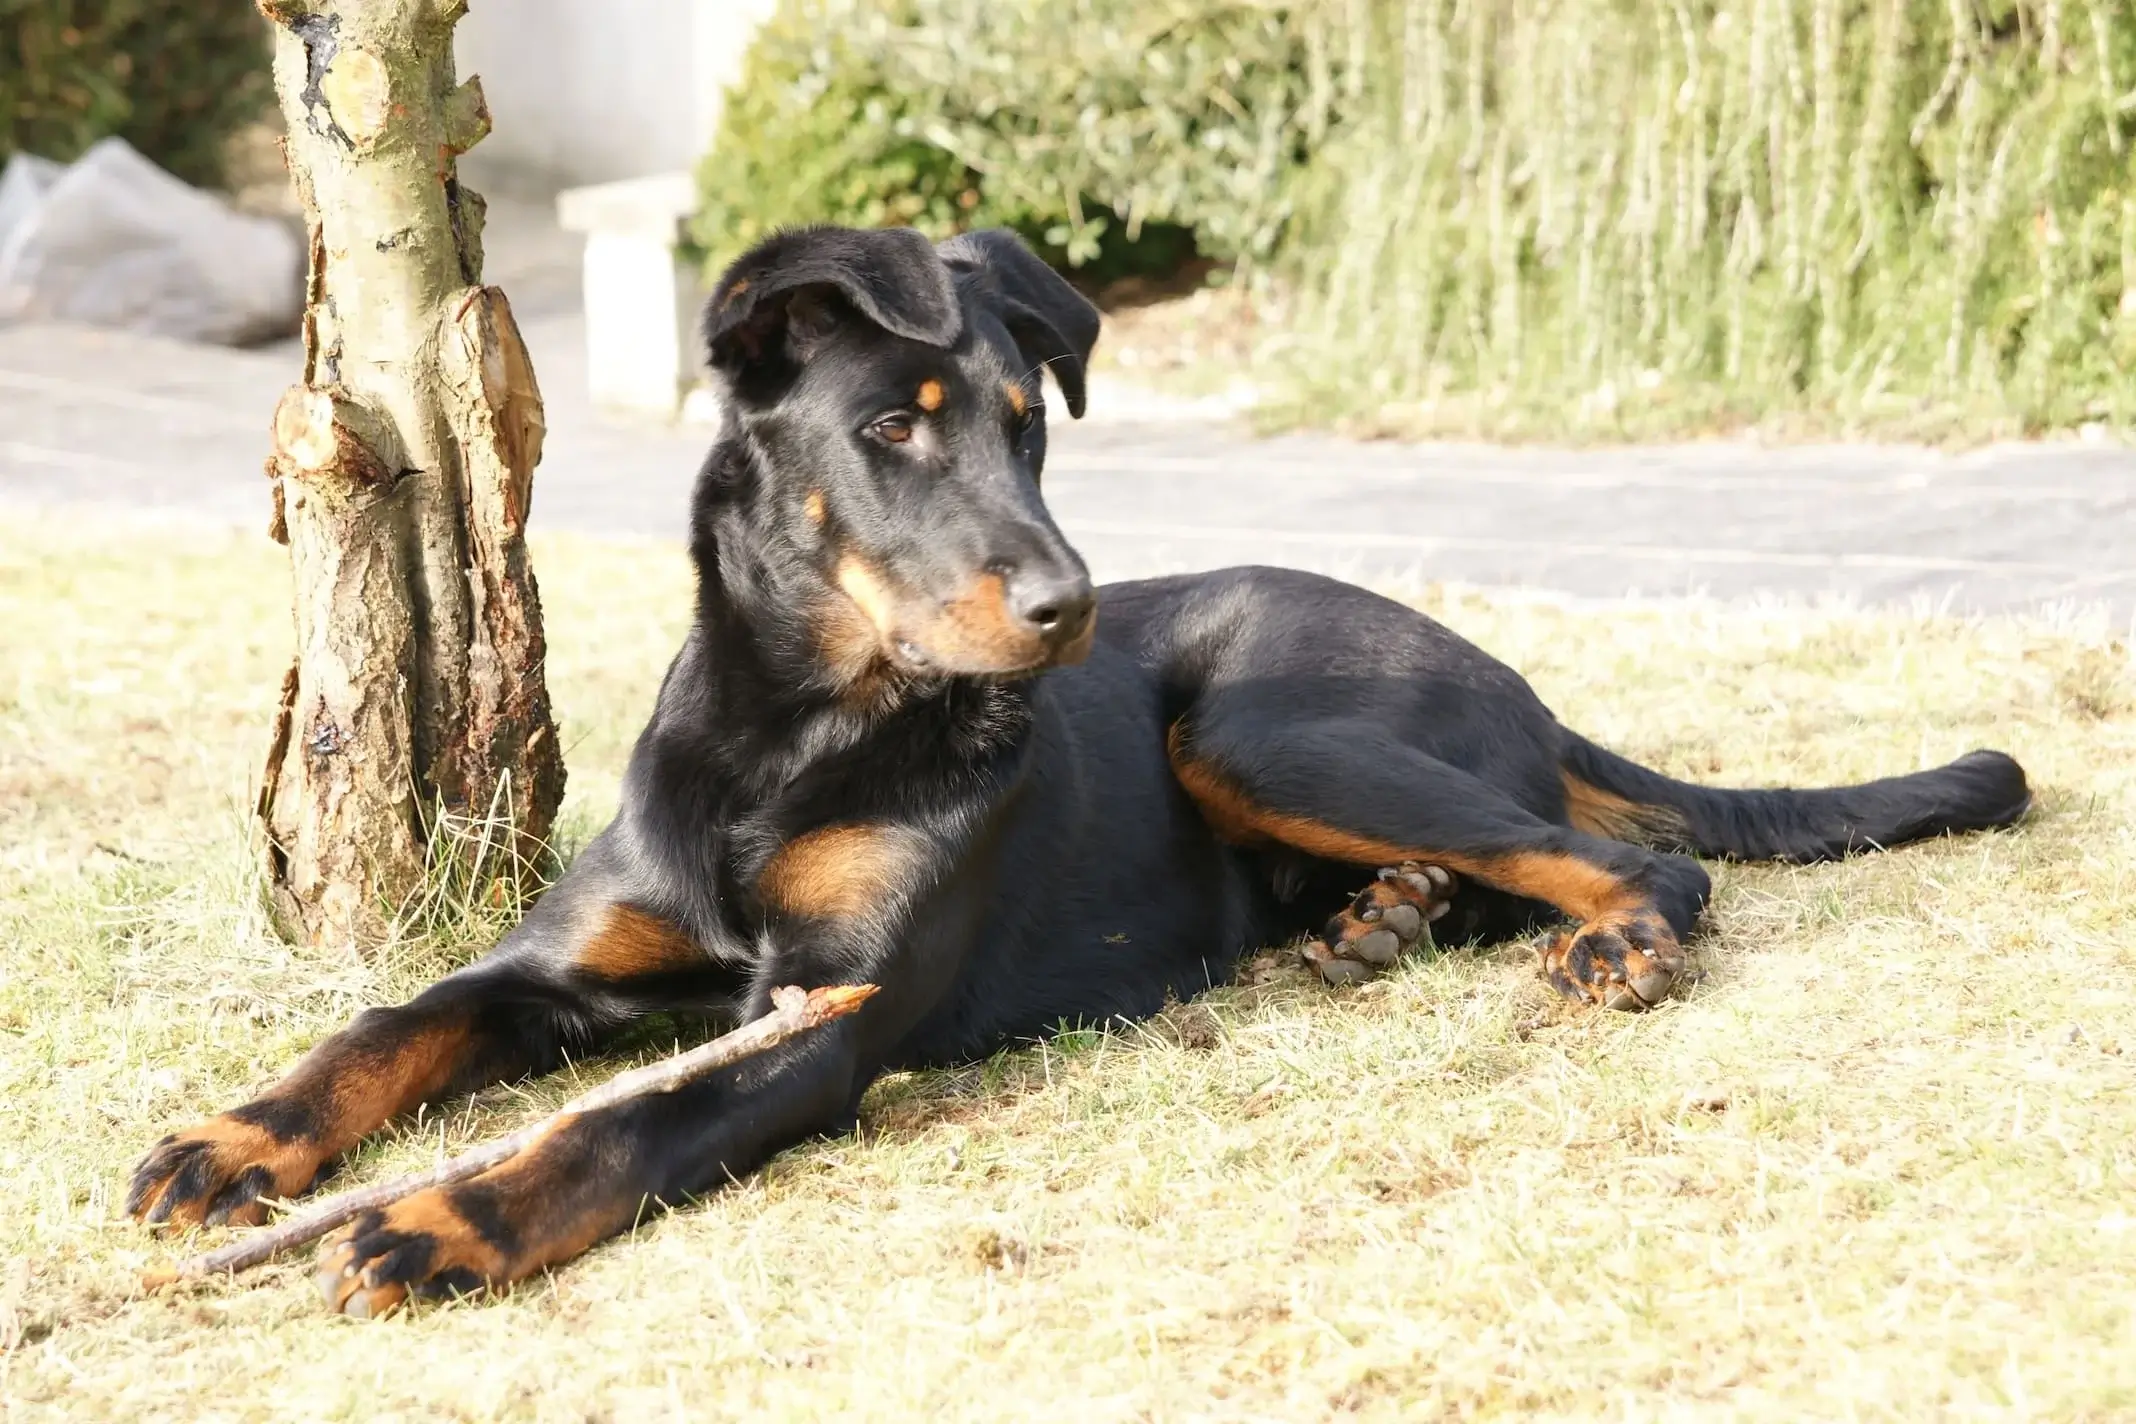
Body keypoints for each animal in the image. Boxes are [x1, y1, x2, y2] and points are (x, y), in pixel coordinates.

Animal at [124, 225, 2024, 1315]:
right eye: (891, 427)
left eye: (1032, 423)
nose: (1068, 607)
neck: (796, 733)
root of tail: (1522, 685)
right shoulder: (559, 965)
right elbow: (389, 1025)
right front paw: (232, 1140)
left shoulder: (826, 1021)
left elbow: (624, 1124)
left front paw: (442, 1223)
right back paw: (1373, 922)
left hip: (1252, 721)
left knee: (1642, 858)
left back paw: (1601, 940)